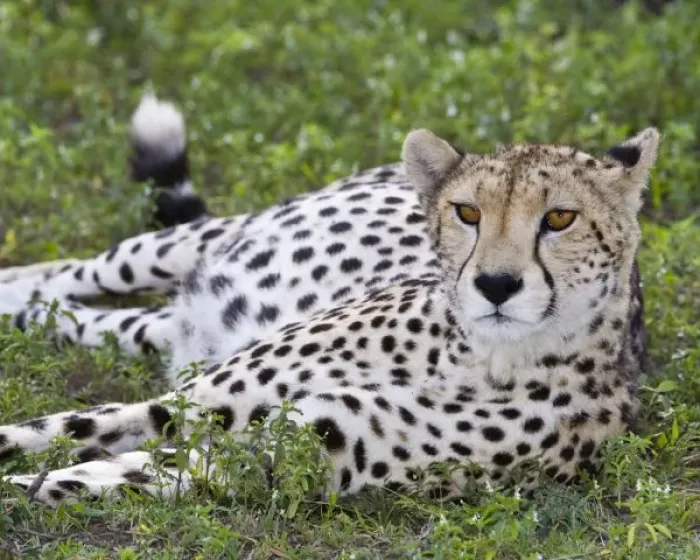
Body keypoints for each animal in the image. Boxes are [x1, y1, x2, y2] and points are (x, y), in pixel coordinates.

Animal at [0, 97, 659, 505]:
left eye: (560, 218)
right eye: (468, 212)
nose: (496, 285)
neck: (476, 357)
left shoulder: (279, 455)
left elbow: (109, 473)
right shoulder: (189, 404)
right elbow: (55, 428)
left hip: (168, 324)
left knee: (84, 317)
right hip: (181, 246)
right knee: (66, 275)